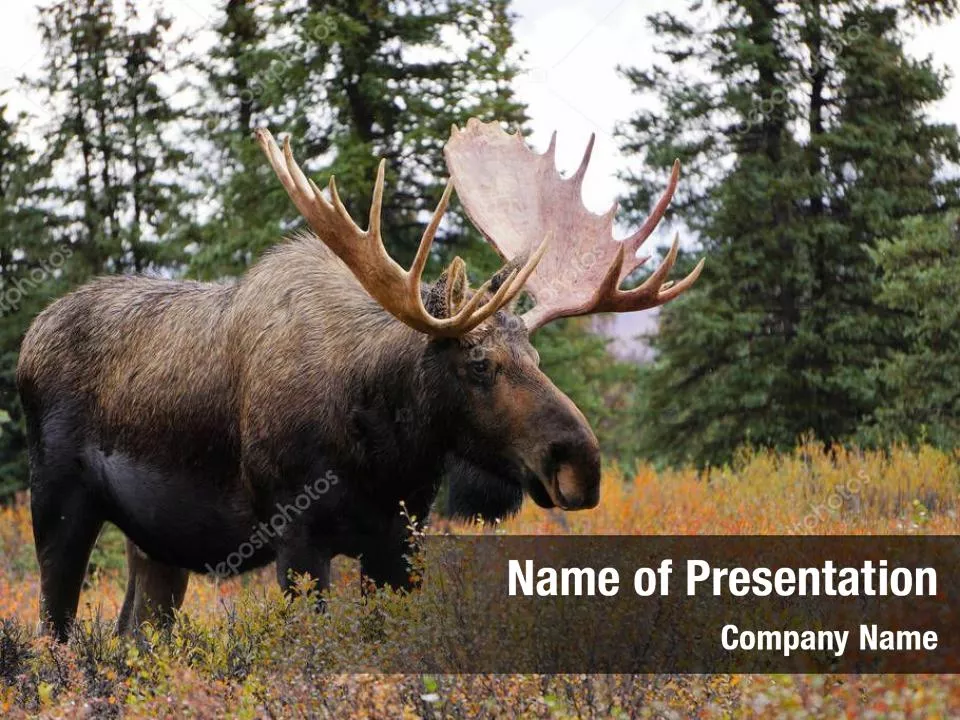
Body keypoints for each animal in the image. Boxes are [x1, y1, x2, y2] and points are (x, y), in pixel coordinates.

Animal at [16, 118, 703, 640]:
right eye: (479, 363)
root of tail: (30, 336)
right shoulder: (296, 538)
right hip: (56, 501)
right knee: (59, 631)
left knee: (135, 633)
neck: (383, 452)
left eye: (536, 357)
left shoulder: (399, 545)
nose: (580, 463)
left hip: (156, 543)